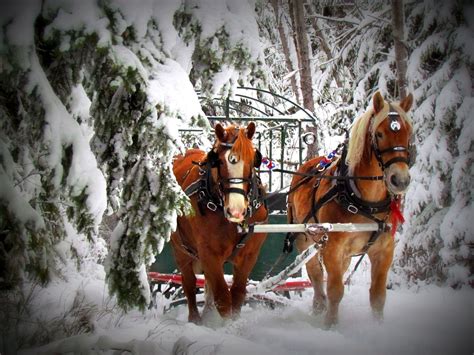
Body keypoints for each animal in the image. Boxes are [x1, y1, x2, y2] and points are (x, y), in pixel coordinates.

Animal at [170, 121, 266, 324]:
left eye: (253, 159)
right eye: (219, 161)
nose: (236, 211)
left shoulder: (249, 255)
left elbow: (237, 294)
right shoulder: (209, 254)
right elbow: (222, 297)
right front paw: (226, 327)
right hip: (180, 248)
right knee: (189, 283)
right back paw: (195, 319)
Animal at [286, 92, 412, 328]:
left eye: (409, 132)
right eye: (379, 133)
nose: (400, 180)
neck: (362, 200)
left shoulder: (384, 250)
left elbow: (378, 296)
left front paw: (378, 327)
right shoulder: (333, 248)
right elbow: (335, 290)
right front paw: (330, 326)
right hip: (304, 238)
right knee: (315, 274)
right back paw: (319, 308)